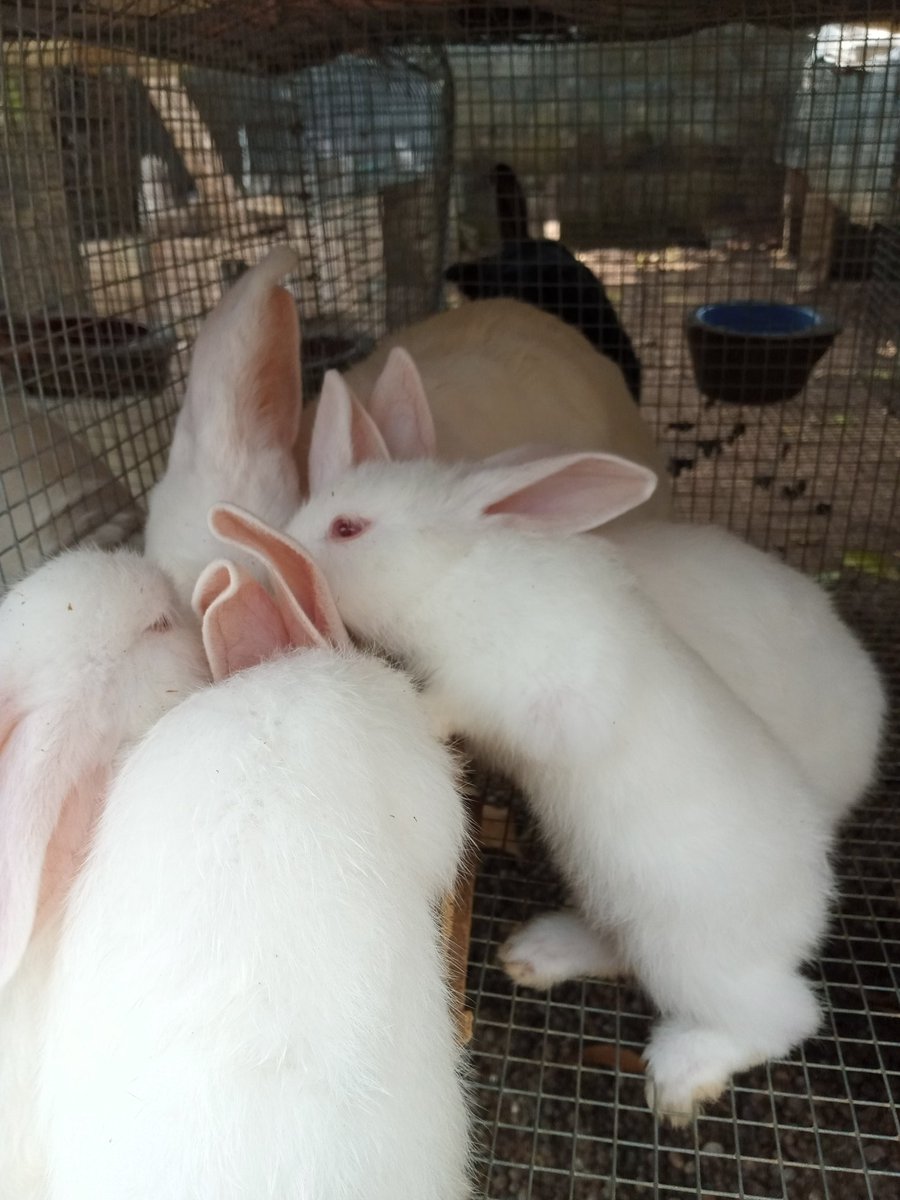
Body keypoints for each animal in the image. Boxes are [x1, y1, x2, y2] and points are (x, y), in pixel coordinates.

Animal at [284, 371, 879, 1124]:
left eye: (348, 527)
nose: (275, 542)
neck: (449, 573)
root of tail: (810, 904)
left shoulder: (534, 688)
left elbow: (465, 704)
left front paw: (408, 700)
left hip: (696, 952)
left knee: (783, 1017)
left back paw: (682, 1074)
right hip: (610, 892)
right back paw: (537, 955)